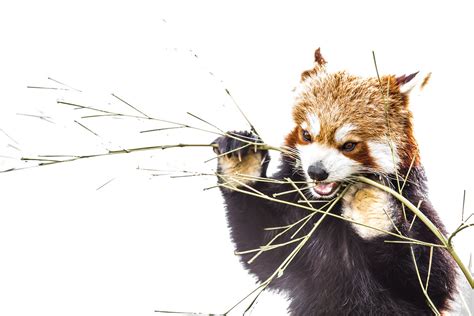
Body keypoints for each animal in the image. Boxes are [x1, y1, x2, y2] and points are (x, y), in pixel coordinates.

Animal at [213, 48, 458, 314]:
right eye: (306, 135)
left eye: (349, 145)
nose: (316, 172)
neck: (329, 208)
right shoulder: (296, 219)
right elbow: (262, 250)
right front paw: (243, 161)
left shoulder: (416, 206)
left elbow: (432, 281)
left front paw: (368, 203)